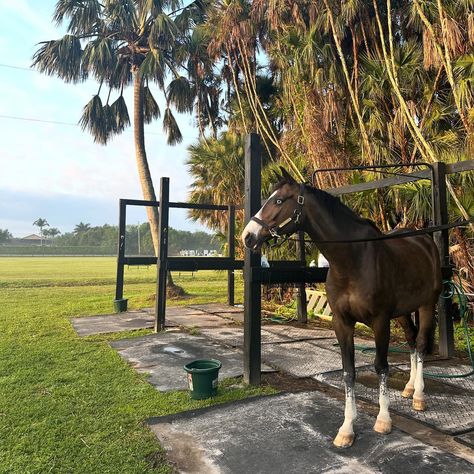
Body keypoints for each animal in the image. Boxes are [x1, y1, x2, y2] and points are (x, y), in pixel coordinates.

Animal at [243, 168, 442, 448]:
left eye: (279, 201)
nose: (247, 236)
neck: (353, 260)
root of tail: (424, 240)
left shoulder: (380, 321)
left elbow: (381, 366)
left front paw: (383, 420)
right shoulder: (342, 322)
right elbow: (348, 373)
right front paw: (347, 429)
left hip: (426, 304)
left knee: (422, 344)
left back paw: (419, 397)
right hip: (403, 312)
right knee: (412, 341)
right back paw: (410, 388)